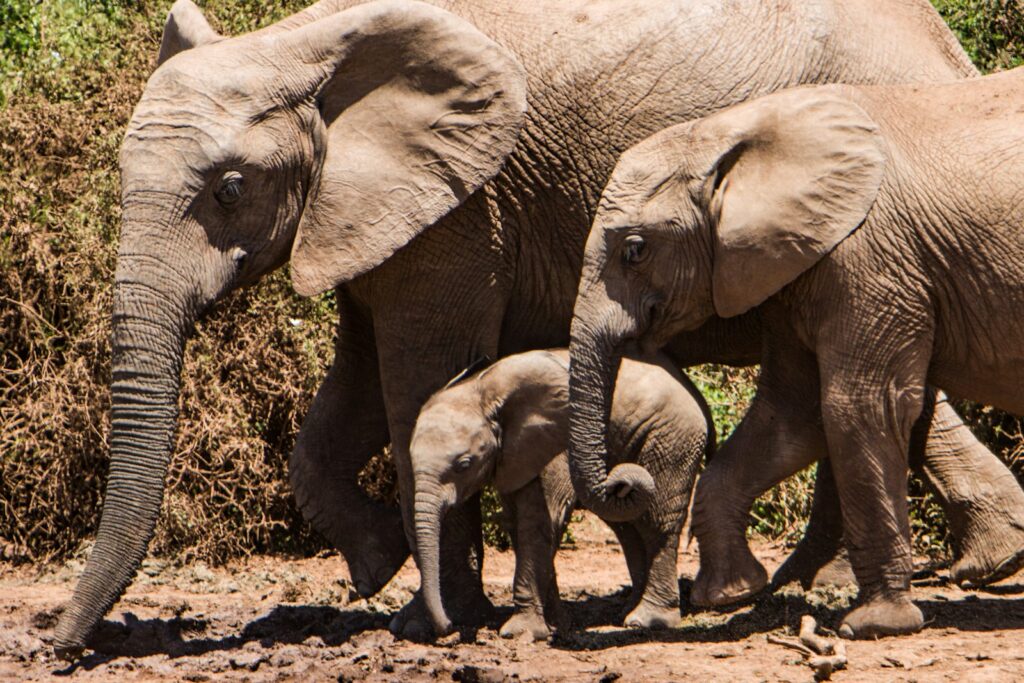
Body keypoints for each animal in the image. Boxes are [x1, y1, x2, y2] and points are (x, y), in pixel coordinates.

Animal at [410, 349, 711, 639]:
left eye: (464, 464)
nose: (448, 628)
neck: (480, 390)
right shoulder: (512, 456)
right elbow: (518, 524)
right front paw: (557, 626)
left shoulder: (554, 447)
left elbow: (539, 522)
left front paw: (521, 633)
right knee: (629, 527)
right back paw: (627, 613)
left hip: (672, 437)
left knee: (656, 523)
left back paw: (646, 621)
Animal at [566, 68, 1024, 638]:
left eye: (634, 250)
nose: (625, 480)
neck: (732, 132)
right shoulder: (795, 265)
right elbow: (790, 413)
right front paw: (732, 594)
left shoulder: (867, 257)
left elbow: (857, 406)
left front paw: (873, 625)